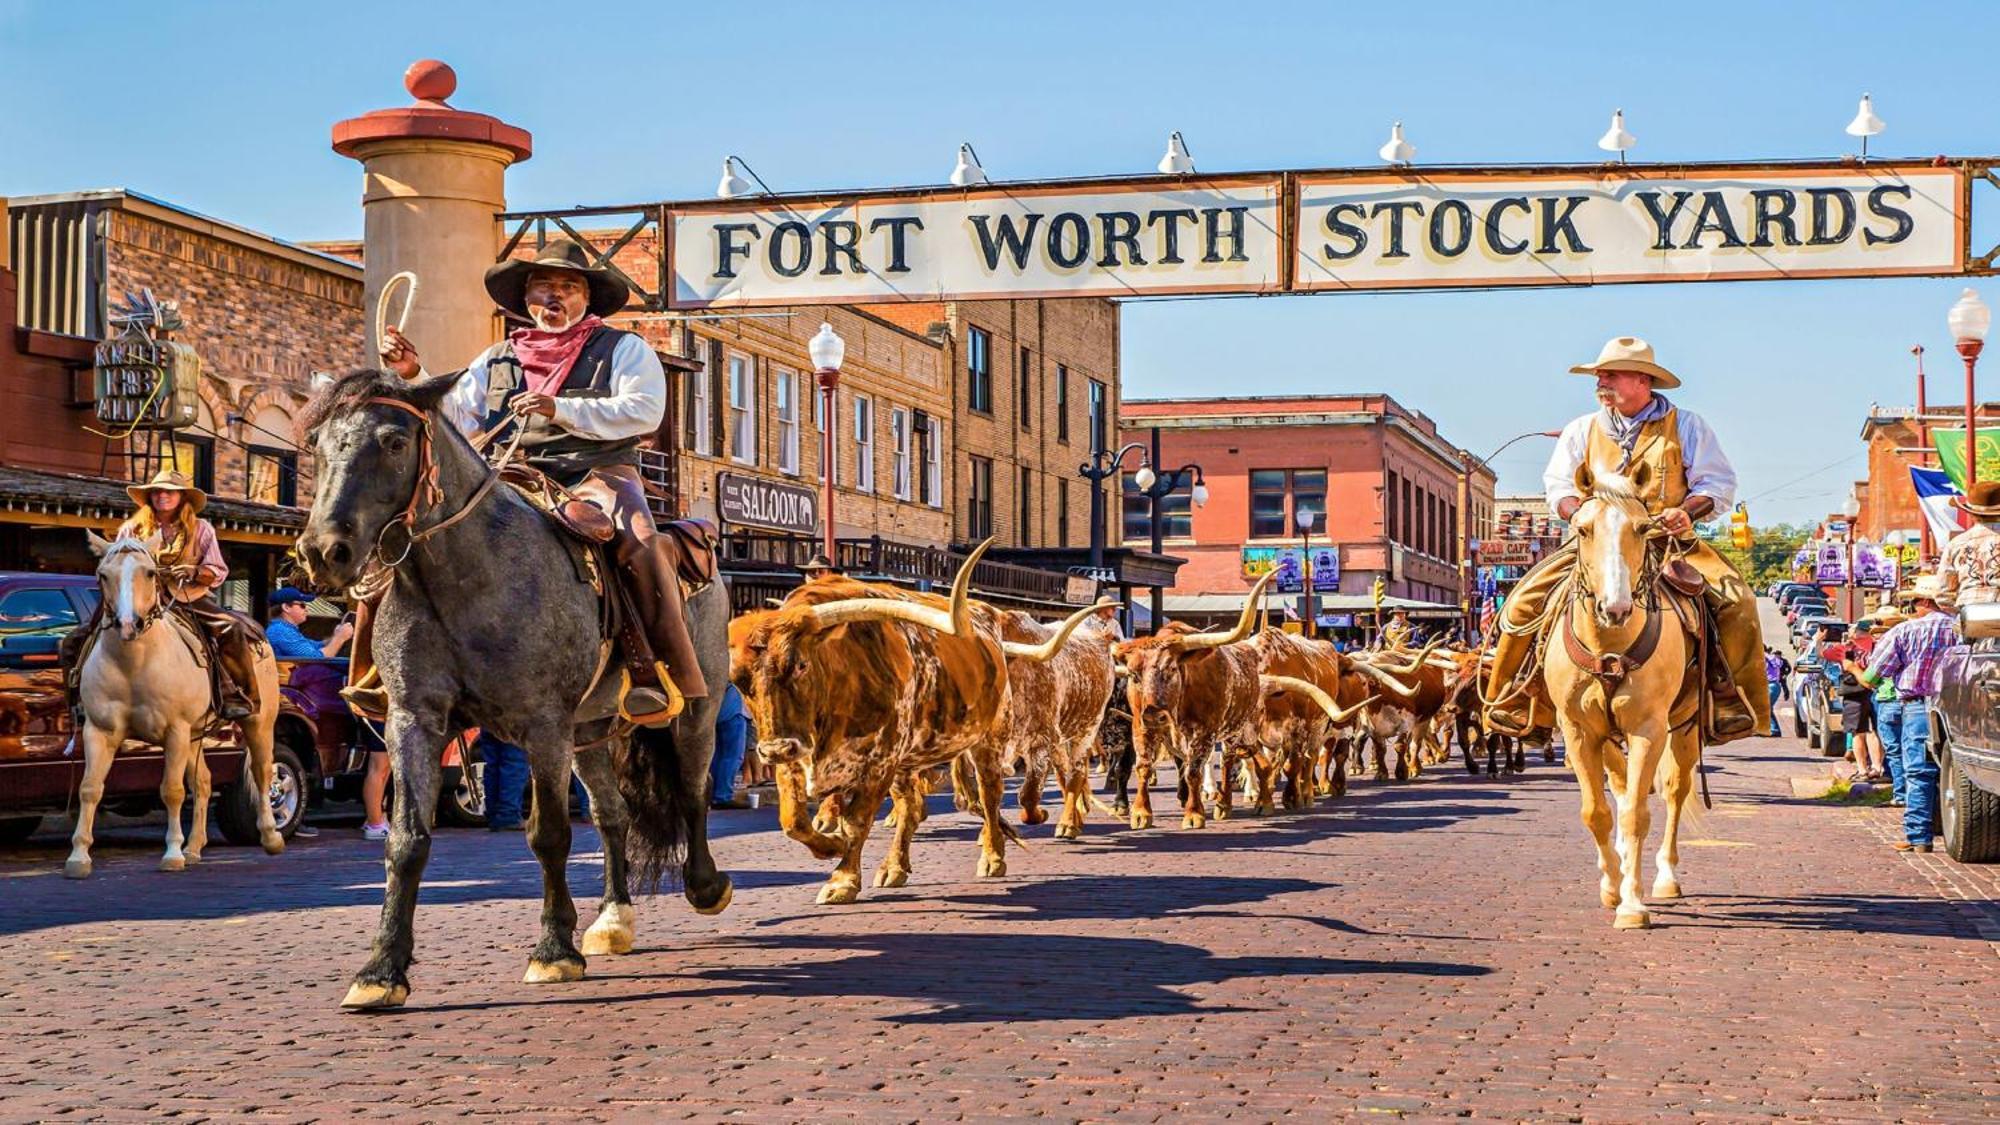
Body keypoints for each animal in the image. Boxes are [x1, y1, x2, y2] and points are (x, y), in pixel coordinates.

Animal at [66, 532, 284, 876]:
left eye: (149, 573)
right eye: (103, 575)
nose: (128, 624)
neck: (134, 665)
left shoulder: (175, 730)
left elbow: (171, 790)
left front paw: (171, 853)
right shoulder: (99, 731)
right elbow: (90, 788)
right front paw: (78, 857)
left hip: (258, 722)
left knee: (262, 771)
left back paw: (271, 836)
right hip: (195, 736)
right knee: (204, 782)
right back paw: (194, 847)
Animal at [296, 366, 736, 1008]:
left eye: (394, 442)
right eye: (317, 445)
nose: (325, 550)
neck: (463, 579)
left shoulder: (542, 724)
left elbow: (548, 834)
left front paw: (554, 950)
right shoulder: (413, 721)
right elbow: (406, 841)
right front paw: (381, 969)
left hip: (695, 708)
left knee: (693, 789)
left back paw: (705, 886)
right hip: (590, 730)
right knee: (613, 814)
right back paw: (613, 918)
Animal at [1536, 464, 1696, 928]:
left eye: (1643, 528)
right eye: (1582, 529)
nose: (1616, 608)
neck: (1609, 645)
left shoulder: (1648, 728)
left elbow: (1637, 814)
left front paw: (1632, 904)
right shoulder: (1578, 731)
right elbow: (1597, 812)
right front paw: (1611, 886)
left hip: (1685, 725)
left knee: (1675, 789)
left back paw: (1664, 876)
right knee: (1622, 784)